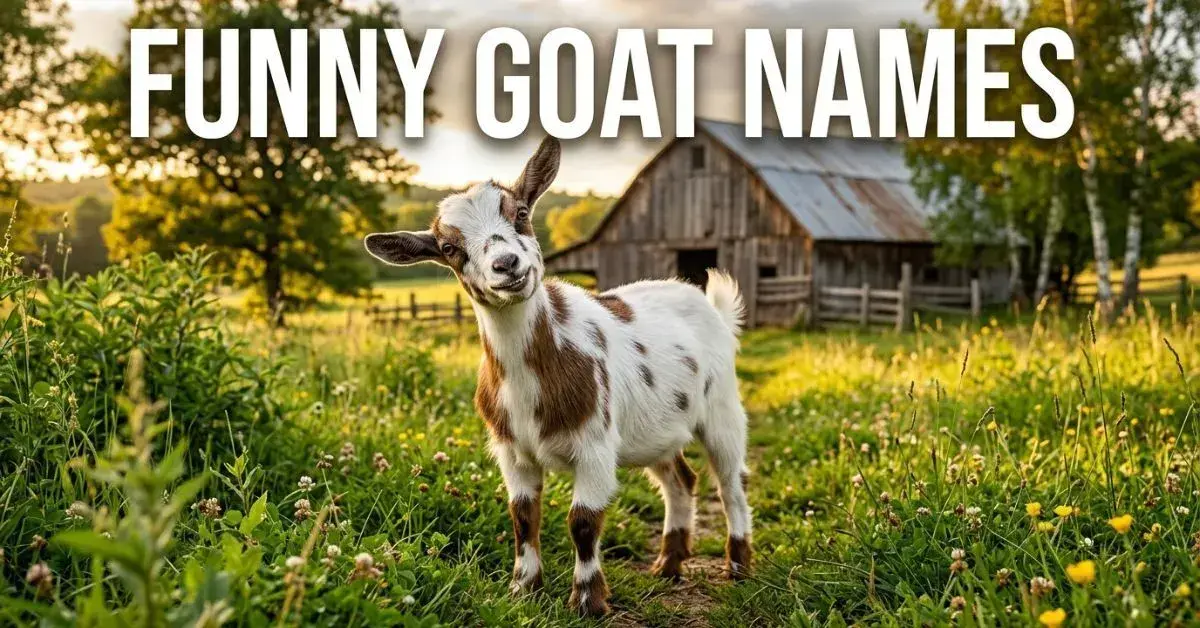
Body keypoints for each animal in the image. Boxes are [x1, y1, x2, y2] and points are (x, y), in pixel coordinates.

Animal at [363, 137, 752, 616]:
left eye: (521, 213)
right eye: (449, 248)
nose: (506, 264)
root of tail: (704, 300)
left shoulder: (595, 446)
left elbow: (582, 521)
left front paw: (588, 601)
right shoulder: (511, 452)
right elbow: (522, 515)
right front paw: (523, 588)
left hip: (722, 409)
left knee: (731, 482)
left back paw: (738, 567)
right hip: (655, 428)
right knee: (680, 479)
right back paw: (669, 564)